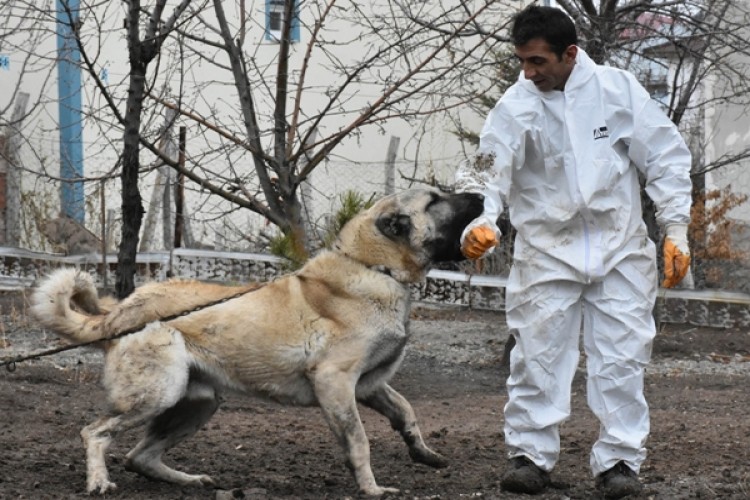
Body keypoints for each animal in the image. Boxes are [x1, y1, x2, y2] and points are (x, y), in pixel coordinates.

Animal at [32, 188, 484, 496]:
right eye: (435, 200)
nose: (480, 195)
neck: (374, 267)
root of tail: (124, 312)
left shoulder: (368, 386)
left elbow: (405, 412)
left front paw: (423, 454)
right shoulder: (335, 382)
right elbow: (359, 440)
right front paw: (371, 488)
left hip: (198, 402)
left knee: (139, 456)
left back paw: (189, 479)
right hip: (159, 394)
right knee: (96, 433)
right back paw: (99, 481)